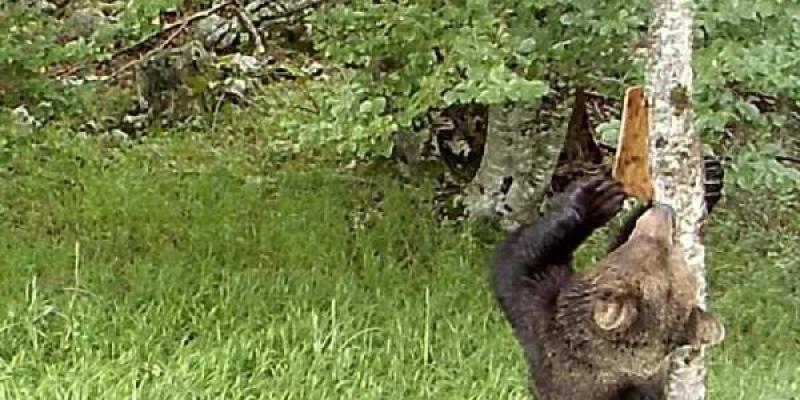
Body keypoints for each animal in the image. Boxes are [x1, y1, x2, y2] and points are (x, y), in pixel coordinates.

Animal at [490, 158, 728, 398]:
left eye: (662, 247)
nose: (664, 210)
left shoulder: (538, 312)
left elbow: (519, 255)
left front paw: (594, 199)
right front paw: (711, 178)